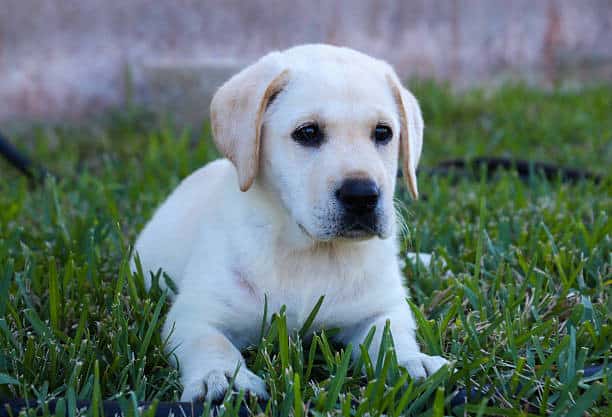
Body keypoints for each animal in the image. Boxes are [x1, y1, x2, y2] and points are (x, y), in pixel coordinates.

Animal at [131, 44, 448, 402]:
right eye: (308, 133)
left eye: (383, 133)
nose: (362, 196)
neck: (310, 253)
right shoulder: (194, 313)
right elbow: (210, 341)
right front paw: (224, 377)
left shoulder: (382, 308)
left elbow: (391, 337)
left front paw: (412, 363)